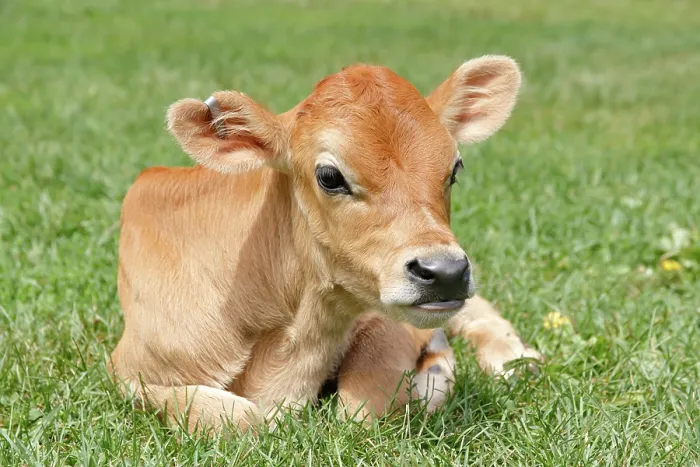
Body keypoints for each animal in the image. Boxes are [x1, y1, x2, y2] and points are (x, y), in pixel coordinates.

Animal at [109, 55, 543, 434]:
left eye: (455, 168)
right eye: (330, 177)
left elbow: (361, 405)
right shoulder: (128, 367)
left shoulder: (384, 317)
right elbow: (236, 418)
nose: (446, 272)